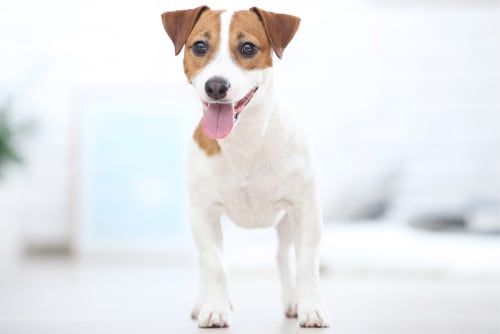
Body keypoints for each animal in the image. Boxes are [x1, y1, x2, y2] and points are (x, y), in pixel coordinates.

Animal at [160, 6, 330, 328]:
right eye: (199, 46)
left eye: (248, 48)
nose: (216, 86)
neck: (245, 141)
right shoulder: (203, 215)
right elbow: (215, 265)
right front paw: (215, 308)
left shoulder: (306, 211)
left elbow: (306, 263)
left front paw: (311, 307)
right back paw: (205, 301)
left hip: (286, 222)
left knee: (283, 257)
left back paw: (293, 301)